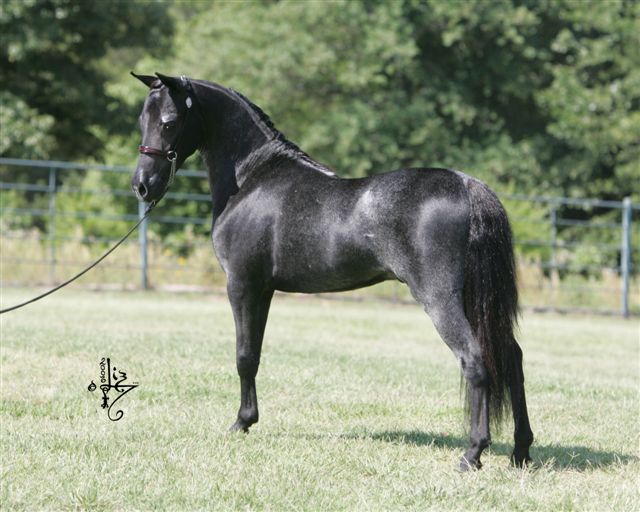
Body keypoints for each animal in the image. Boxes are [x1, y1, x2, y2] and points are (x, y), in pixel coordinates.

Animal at [130, 72, 533, 470]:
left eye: (169, 122)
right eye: (142, 120)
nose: (142, 185)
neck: (253, 179)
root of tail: (468, 186)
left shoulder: (242, 285)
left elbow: (244, 356)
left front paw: (241, 423)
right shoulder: (264, 290)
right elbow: (255, 354)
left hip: (441, 299)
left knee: (475, 359)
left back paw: (472, 453)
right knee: (511, 358)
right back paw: (521, 450)